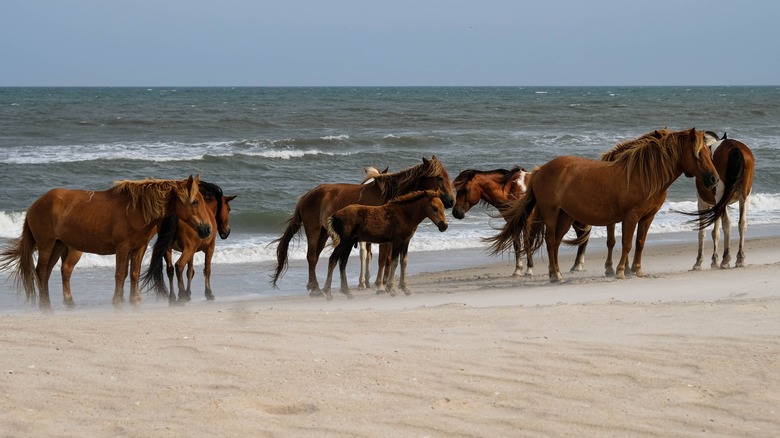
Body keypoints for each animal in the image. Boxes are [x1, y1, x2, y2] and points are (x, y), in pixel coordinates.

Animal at [0, 176, 213, 310]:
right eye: (195, 201)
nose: (207, 229)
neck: (136, 209)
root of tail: (34, 205)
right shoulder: (122, 248)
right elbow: (120, 274)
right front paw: (117, 301)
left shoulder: (138, 248)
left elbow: (133, 274)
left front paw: (134, 300)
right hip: (47, 245)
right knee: (41, 271)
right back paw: (45, 304)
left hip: (59, 245)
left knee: (49, 272)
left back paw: (64, 302)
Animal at [272, 155, 454, 294]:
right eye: (440, 177)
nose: (451, 201)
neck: (392, 196)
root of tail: (306, 195)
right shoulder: (386, 239)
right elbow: (383, 260)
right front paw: (381, 286)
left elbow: (390, 260)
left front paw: (388, 284)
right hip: (314, 230)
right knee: (311, 257)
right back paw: (316, 288)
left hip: (324, 233)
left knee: (315, 257)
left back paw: (315, 286)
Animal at [450, 166, 592, 276]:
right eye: (457, 190)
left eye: (465, 190)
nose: (455, 212)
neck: (512, 189)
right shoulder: (513, 221)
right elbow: (517, 244)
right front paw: (517, 270)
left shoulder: (527, 220)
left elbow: (527, 243)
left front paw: (529, 269)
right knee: (582, 237)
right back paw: (577, 265)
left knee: (583, 237)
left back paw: (578, 266)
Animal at [488, 128, 720, 282]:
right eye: (698, 154)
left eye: (708, 153)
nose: (714, 179)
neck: (644, 175)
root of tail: (539, 171)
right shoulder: (630, 216)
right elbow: (626, 243)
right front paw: (620, 271)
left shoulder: (647, 217)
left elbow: (640, 243)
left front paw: (637, 269)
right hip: (551, 213)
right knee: (551, 241)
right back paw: (556, 276)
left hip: (565, 215)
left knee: (555, 242)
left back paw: (557, 273)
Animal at [688, 133, 756, 270]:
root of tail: (735, 148)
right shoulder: (717, 206)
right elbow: (715, 232)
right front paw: (714, 260)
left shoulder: (702, 204)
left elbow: (702, 232)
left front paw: (699, 262)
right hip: (744, 196)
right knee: (742, 223)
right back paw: (740, 258)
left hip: (720, 196)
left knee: (727, 223)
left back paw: (726, 259)